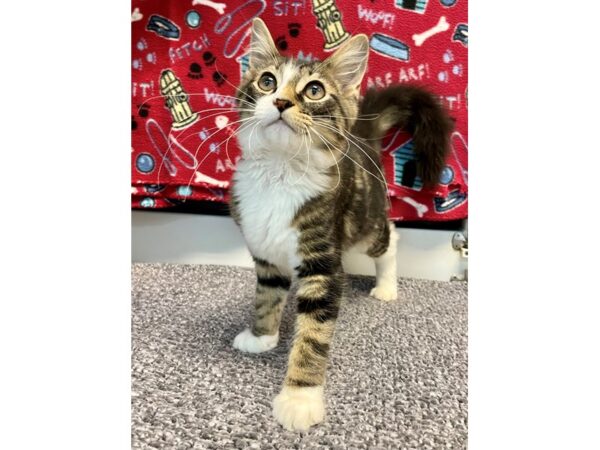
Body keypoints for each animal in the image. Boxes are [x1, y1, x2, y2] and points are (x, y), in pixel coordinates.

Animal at [229, 18, 450, 432]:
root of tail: (362, 136)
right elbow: (267, 296)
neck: (279, 172)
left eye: (314, 90)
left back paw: (386, 286)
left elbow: (312, 338)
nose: (281, 102)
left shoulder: (323, 264)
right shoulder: (265, 253)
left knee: (390, 237)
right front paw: (262, 336)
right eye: (267, 81)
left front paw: (299, 398)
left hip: (366, 223)